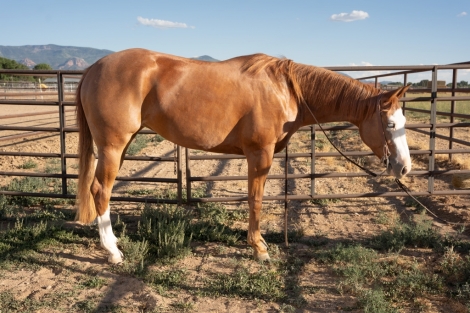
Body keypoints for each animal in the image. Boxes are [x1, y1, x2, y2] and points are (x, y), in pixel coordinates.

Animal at [74, 48, 412, 262]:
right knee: (100, 189)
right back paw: (113, 252)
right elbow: (256, 200)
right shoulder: (259, 155)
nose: (405, 168)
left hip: (121, 145)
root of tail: (93, 68)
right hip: (113, 146)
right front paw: (259, 249)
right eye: (391, 124)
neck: (286, 89)